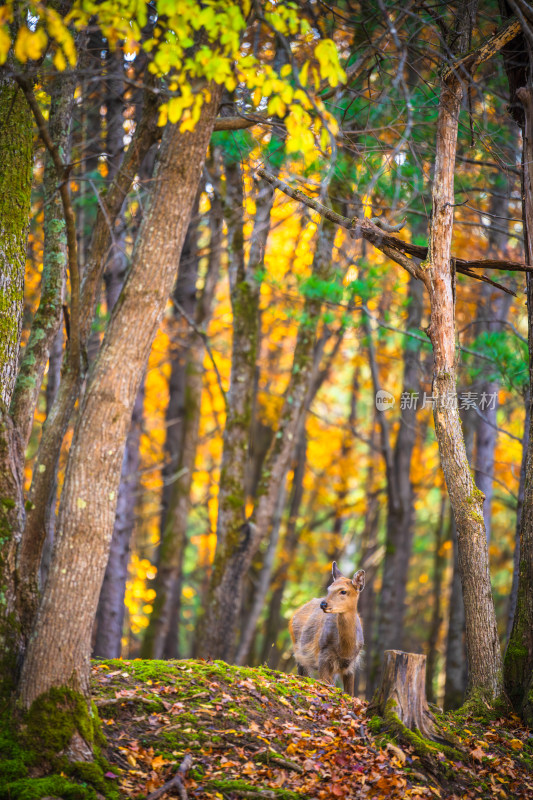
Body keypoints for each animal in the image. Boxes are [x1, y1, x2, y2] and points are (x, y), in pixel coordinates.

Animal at [288, 564, 364, 692]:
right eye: (329, 589)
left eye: (343, 591)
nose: (323, 604)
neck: (344, 651)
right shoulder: (322, 655)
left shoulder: (351, 665)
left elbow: (350, 692)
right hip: (299, 652)